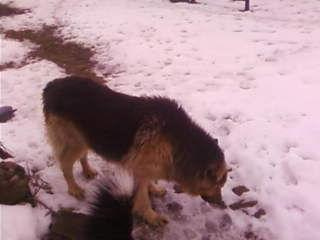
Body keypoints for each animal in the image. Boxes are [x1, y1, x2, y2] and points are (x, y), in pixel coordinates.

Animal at [42, 76, 228, 226]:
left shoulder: (146, 167)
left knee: (82, 156)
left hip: (85, 137)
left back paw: (87, 170)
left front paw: (154, 189)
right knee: (65, 165)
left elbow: (148, 183)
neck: (178, 141)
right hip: (74, 142)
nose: (222, 204)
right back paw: (74, 188)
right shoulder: (140, 169)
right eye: (217, 184)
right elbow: (142, 198)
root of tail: (51, 85)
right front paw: (151, 216)